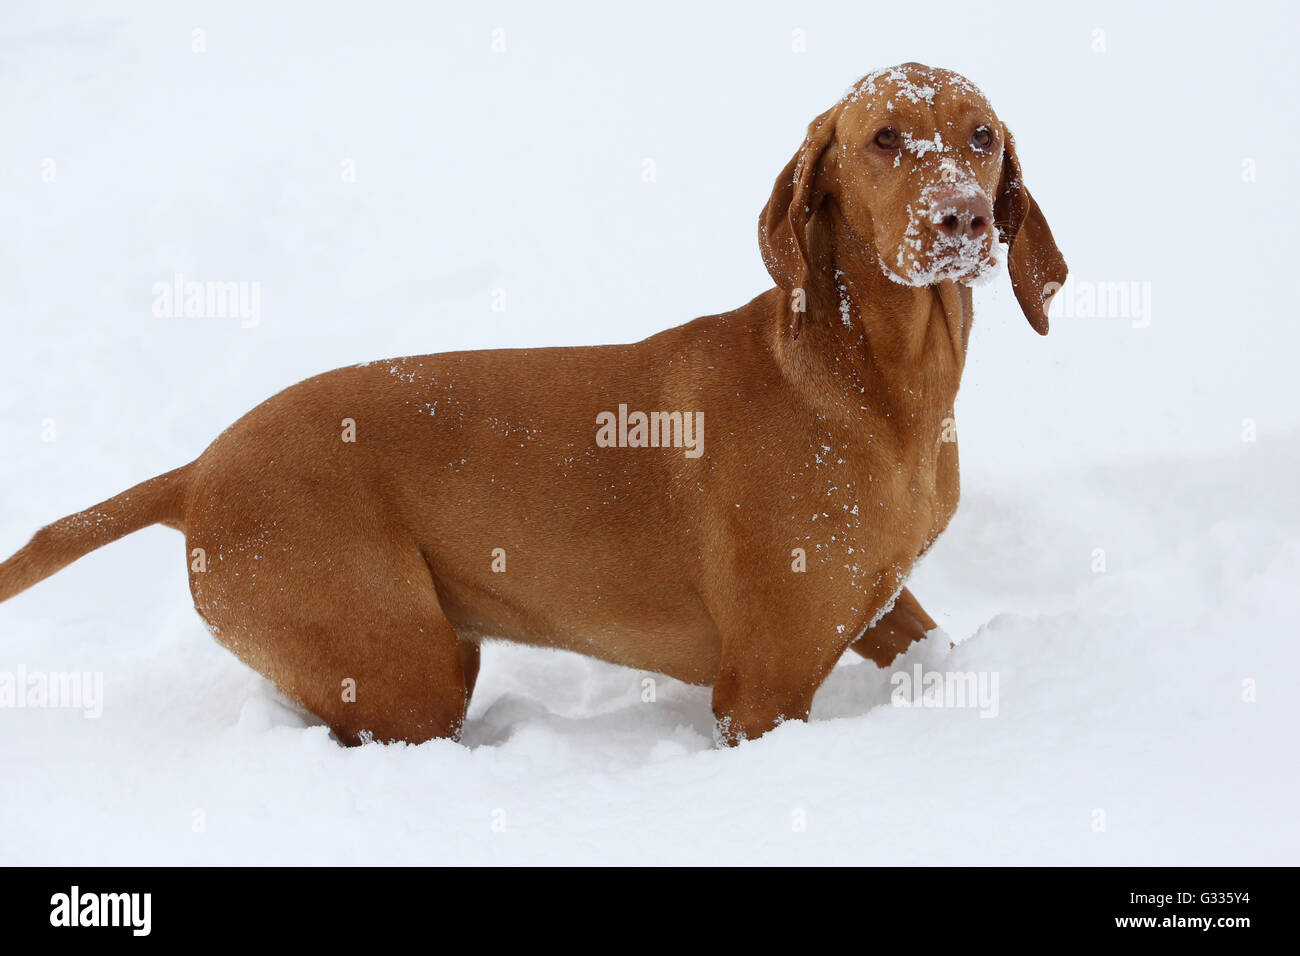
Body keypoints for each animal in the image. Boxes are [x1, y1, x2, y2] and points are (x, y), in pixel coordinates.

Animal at [0, 65, 1066, 749]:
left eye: (981, 137)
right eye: (885, 138)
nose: (963, 218)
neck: (874, 387)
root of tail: (198, 471)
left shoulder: (878, 601)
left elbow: (931, 641)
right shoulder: (760, 688)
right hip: (403, 664)